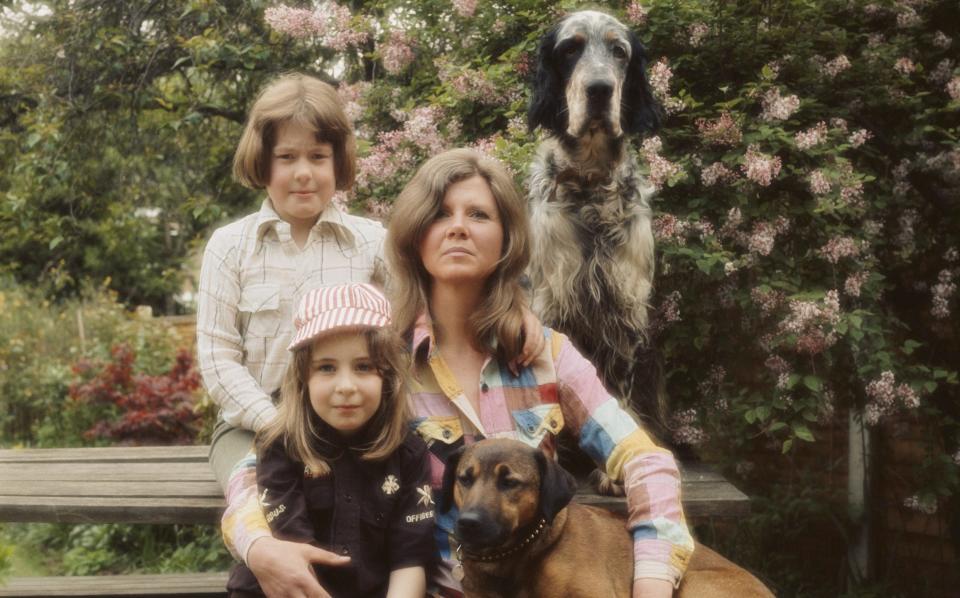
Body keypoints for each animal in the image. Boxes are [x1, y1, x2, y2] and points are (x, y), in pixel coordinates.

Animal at [528, 11, 672, 448]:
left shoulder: (623, 313)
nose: (599, 89)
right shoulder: (552, 305)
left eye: (619, 51)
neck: (590, 186)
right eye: (570, 48)